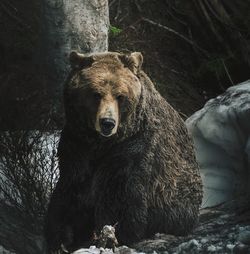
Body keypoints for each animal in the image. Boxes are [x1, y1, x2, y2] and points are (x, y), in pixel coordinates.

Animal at [45, 50, 202, 253]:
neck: (101, 144)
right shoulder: (76, 145)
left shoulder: (132, 151)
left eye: (120, 96)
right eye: (96, 94)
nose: (107, 123)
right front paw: (63, 239)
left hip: (179, 202)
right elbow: (70, 193)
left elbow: (120, 200)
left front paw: (111, 234)